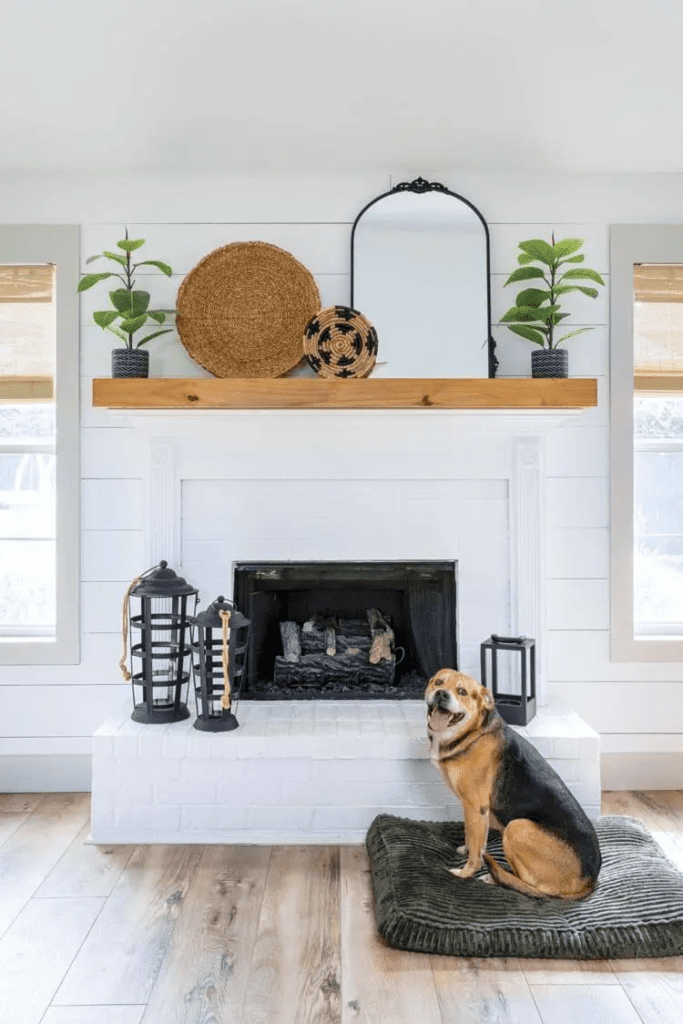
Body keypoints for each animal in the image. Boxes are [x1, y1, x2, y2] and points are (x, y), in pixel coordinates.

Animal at [428, 663, 602, 897]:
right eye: (438, 682)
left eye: (462, 691)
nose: (441, 694)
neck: (473, 733)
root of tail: (589, 883)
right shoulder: (472, 810)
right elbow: (473, 839)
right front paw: (467, 849)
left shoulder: (475, 807)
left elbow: (475, 853)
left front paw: (466, 873)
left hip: (517, 827)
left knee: (528, 884)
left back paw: (495, 878)